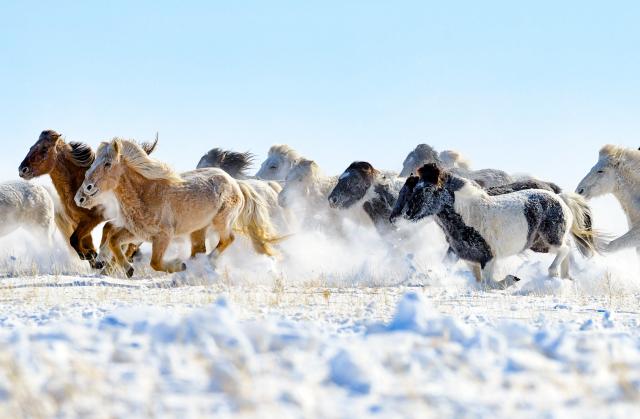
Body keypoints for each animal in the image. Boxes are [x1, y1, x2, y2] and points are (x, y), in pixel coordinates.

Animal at [19, 130, 157, 268]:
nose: (22, 169)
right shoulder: (76, 222)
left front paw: (93, 257)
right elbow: (80, 243)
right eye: (31, 147)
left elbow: (74, 240)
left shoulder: (91, 219)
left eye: (44, 149)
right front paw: (92, 257)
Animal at [74, 138, 279, 277]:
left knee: (228, 239)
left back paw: (204, 262)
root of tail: (235, 182)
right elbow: (114, 241)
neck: (147, 194)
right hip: (198, 229)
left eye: (107, 164)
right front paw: (128, 269)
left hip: (222, 221)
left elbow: (155, 263)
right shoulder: (137, 233)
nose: (82, 195)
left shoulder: (163, 237)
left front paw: (178, 266)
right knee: (201, 248)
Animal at [391, 163, 598, 287]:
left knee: (564, 249)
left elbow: (489, 283)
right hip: (539, 245)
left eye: (427, 189)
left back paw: (553, 274)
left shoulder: (488, 258)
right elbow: (474, 280)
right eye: (413, 190)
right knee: (567, 248)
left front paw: (512, 279)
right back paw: (565, 277)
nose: (407, 214)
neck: (468, 216)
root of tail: (560, 198)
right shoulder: (463, 256)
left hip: (550, 239)